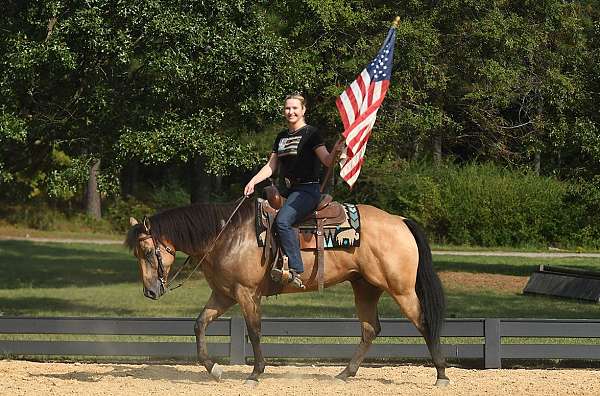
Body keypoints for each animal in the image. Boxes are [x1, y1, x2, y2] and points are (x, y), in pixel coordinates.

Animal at [124, 198, 448, 386]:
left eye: (148, 252)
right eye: (138, 254)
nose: (149, 291)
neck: (226, 235)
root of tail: (400, 221)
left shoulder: (246, 293)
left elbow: (254, 331)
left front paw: (255, 373)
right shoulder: (224, 295)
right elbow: (199, 324)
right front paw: (214, 369)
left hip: (401, 289)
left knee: (424, 322)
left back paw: (442, 374)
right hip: (365, 287)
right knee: (370, 329)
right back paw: (345, 374)